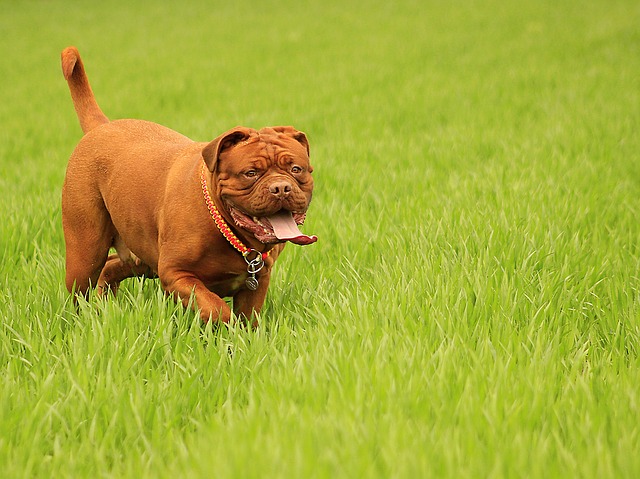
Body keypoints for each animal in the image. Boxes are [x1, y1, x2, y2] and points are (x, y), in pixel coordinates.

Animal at [61, 47, 316, 324]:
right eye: (250, 173)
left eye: (296, 169)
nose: (281, 188)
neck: (228, 228)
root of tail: (101, 127)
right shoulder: (176, 274)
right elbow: (216, 308)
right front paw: (227, 327)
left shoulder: (257, 281)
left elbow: (249, 318)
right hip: (85, 251)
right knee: (81, 286)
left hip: (141, 256)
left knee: (111, 266)